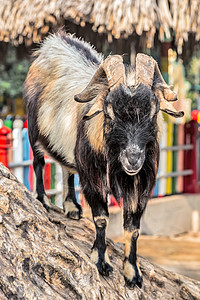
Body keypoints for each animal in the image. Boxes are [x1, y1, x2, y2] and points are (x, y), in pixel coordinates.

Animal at [23, 31, 184, 288]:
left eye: (153, 111)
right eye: (109, 112)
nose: (133, 159)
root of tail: (51, 43)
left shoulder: (140, 186)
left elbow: (133, 229)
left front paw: (132, 273)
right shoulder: (93, 179)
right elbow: (101, 219)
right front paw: (100, 262)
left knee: (67, 170)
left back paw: (71, 207)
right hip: (33, 129)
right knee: (39, 162)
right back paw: (42, 200)